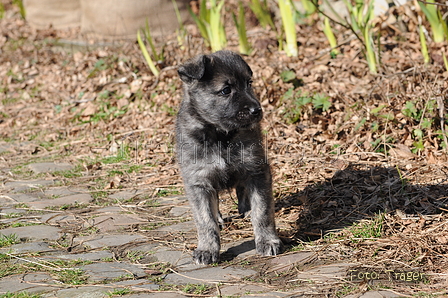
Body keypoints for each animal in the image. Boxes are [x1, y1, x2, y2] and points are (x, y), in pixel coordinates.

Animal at [176, 50, 284, 264]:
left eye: (249, 83)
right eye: (226, 90)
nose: (257, 110)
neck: (220, 136)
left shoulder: (257, 170)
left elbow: (263, 211)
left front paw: (268, 240)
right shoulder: (198, 181)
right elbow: (205, 220)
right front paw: (207, 249)